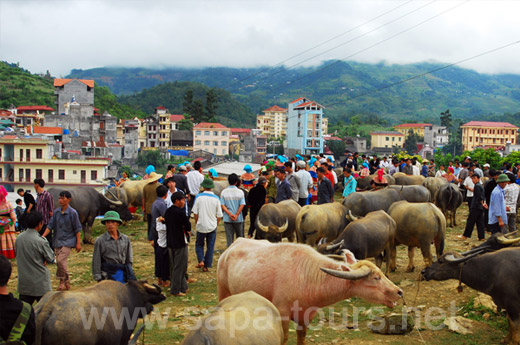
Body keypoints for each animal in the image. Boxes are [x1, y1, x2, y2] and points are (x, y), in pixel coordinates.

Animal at [217, 238, 404, 344]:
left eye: (381, 274)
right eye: (376, 278)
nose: (399, 292)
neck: (307, 277)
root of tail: (230, 249)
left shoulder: (306, 317)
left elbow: (302, 337)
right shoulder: (282, 314)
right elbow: (284, 339)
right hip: (223, 290)